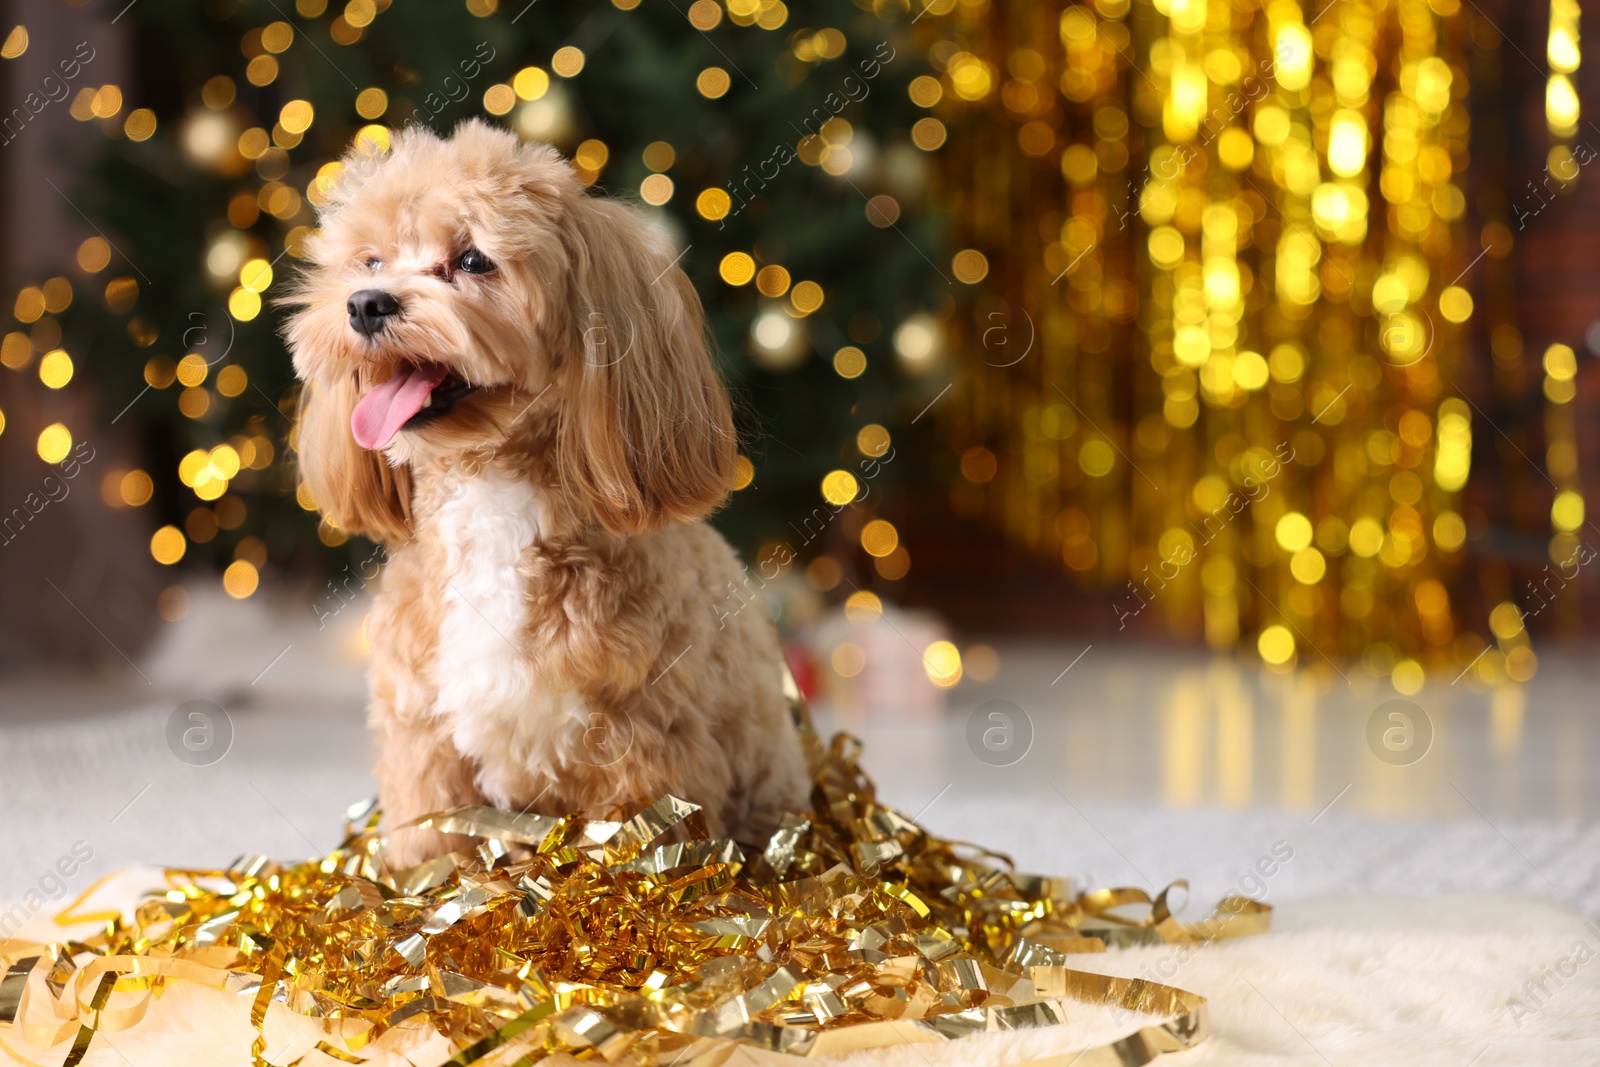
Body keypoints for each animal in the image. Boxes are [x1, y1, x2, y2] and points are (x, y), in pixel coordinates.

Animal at [281, 119, 812, 870]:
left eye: (474, 260)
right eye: (370, 261)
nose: (365, 304)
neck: (492, 497)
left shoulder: (644, 752)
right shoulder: (426, 746)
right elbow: (431, 848)